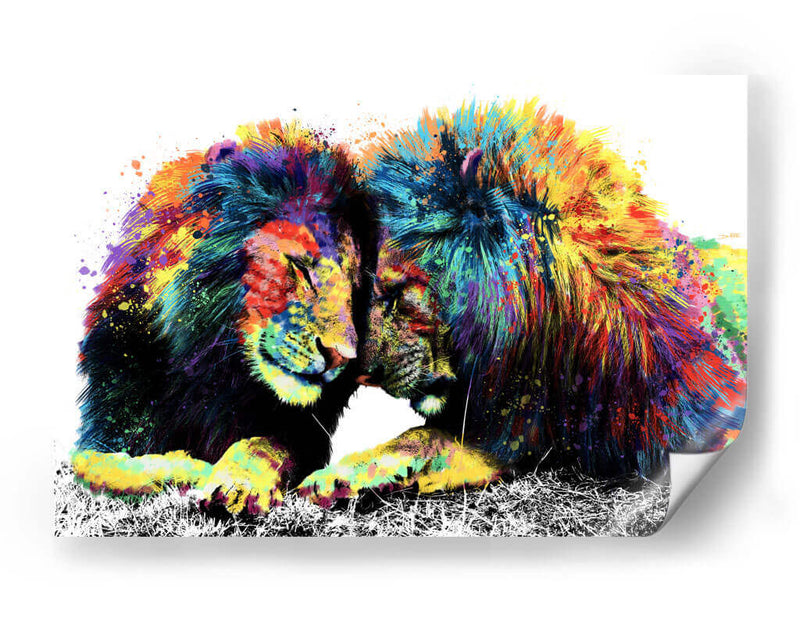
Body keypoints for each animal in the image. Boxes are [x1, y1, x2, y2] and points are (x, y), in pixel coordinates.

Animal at [73, 120, 377, 515]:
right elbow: (102, 465)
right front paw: (190, 470)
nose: (344, 357)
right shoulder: (103, 429)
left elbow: (263, 445)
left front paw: (239, 482)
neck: (209, 372)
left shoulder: (303, 435)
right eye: (300, 267)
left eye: (354, 289)